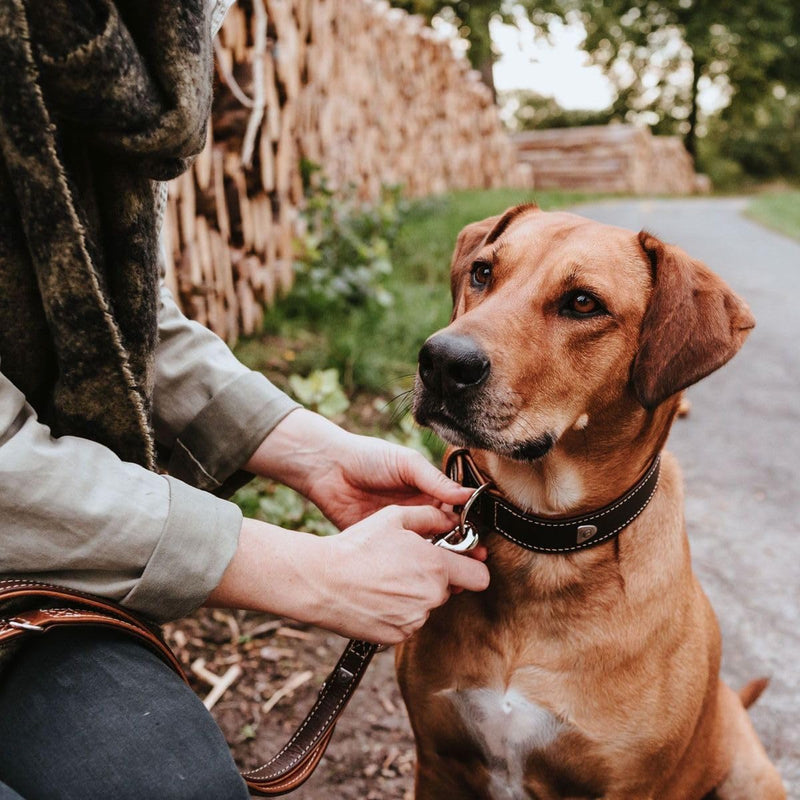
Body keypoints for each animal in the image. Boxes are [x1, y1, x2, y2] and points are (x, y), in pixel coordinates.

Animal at [396, 206, 784, 800]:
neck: (548, 544)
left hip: (751, 776)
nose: (440, 361)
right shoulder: (436, 762)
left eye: (583, 303)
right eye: (483, 271)